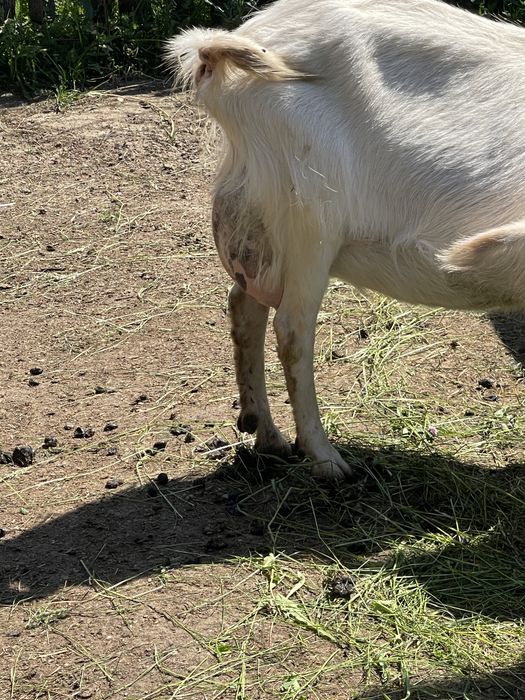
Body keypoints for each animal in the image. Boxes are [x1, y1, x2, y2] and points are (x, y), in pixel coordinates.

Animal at [167, 0, 525, 479]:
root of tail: (221, 49)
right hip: (310, 220)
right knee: (291, 331)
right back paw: (324, 457)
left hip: (265, 219)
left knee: (245, 303)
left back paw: (265, 433)